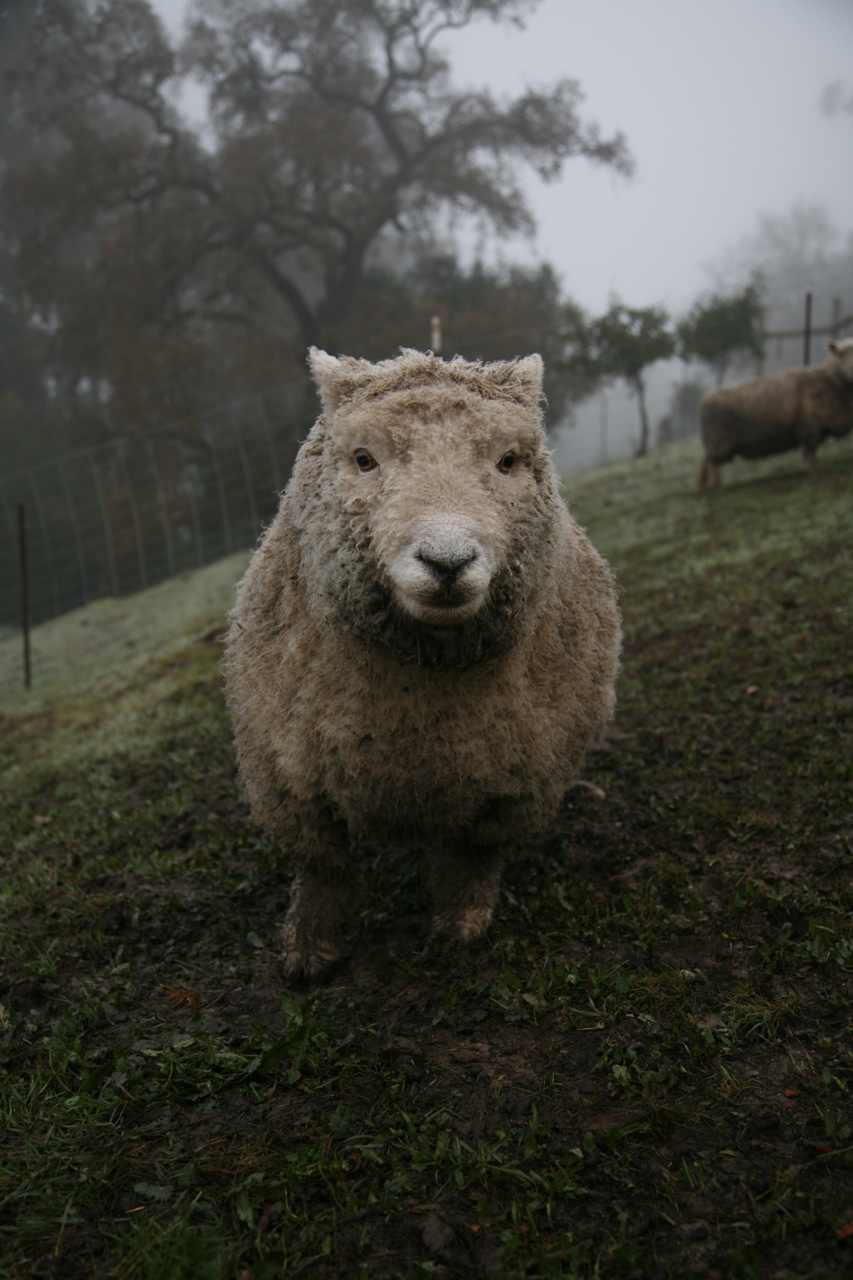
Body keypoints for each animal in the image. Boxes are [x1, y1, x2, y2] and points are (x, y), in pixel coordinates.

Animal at [224, 348, 621, 979]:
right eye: (364, 459)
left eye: (507, 460)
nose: (447, 561)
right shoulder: (287, 778)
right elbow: (323, 868)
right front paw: (309, 949)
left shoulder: (516, 783)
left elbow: (475, 855)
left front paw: (461, 924)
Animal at [698, 337, 853, 490]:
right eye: (842, 355)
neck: (828, 380)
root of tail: (705, 401)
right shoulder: (809, 427)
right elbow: (810, 454)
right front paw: (813, 472)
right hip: (718, 443)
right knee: (712, 465)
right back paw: (716, 486)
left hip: (716, 445)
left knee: (706, 464)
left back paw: (707, 487)